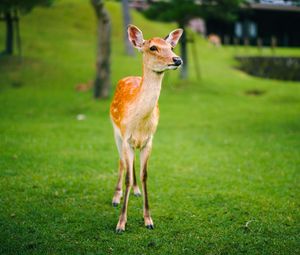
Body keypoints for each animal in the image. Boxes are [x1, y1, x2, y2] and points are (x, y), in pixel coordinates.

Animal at [109, 24, 182, 233]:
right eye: (153, 48)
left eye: (171, 47)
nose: (178, 59)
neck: (140, 123)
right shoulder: (125, 136)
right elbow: (127, 173)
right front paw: (121, 223)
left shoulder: (149, 140)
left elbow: (144, 175)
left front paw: (148, 219)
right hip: (115, 132)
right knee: (122, 162)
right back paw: (116, 197)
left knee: (130, 163)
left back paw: (135, 191)